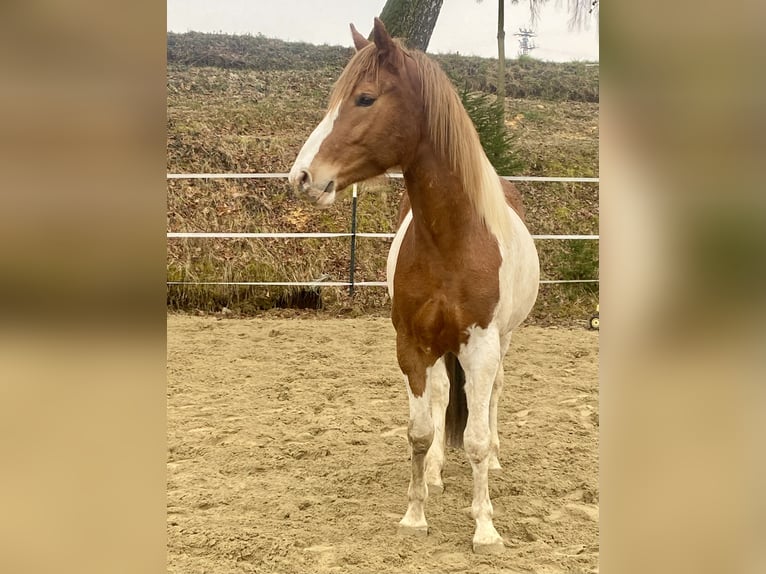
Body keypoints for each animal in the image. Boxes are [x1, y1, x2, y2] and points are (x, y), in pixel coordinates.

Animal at [286, 19, 540, 560]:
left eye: (364, 98)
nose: (302, 176)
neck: (452, 238)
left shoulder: (481, 345)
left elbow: (477, 438)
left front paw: (485, 528)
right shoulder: (412, 345)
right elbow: (420, 431)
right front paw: (415, 514)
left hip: (503, 341)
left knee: (492, 400)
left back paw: (494, 464)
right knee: (444, 397)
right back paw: (439, 472)